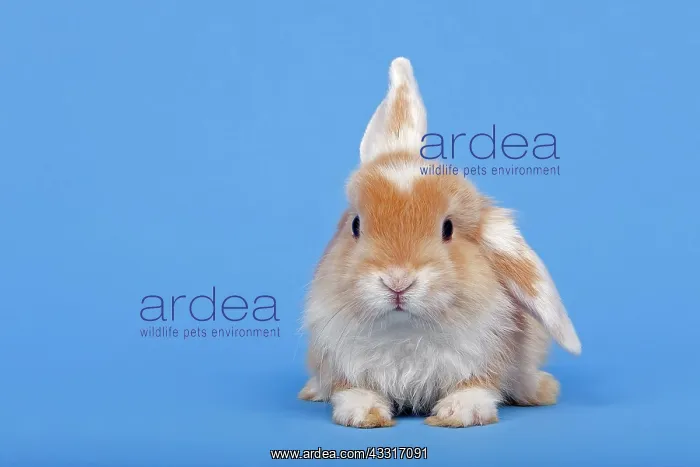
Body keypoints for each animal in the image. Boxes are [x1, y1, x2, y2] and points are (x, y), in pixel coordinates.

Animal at [298, 57, 581, 429]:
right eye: (356, 225)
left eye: (448, 228)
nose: (398, 281)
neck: (404, 330)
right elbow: (354, 390)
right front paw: (363, 414)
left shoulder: (484, 359)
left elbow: (477, 387)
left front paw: (458, 413)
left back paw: (542, 390)